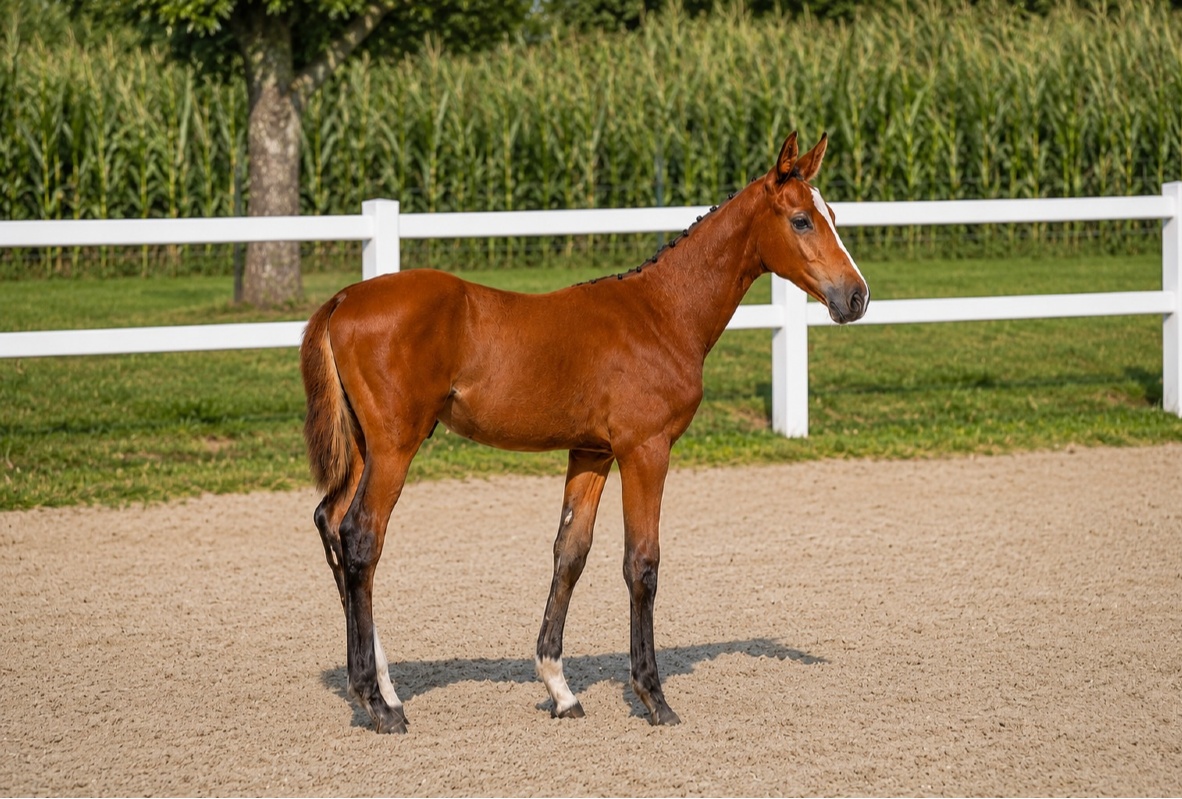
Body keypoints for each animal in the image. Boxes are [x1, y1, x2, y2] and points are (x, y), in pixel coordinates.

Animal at [299, 132, 868, 733]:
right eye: (802, 220)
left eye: (833, 215)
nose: (857, 297)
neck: (662, 313)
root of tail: (342, 299)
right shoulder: (645, 450)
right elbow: (642, 564)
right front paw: (653, 696)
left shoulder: (591, 452)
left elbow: (569, 554)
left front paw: (561, 689)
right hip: (395, 446)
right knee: (361, 537)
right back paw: (377, 701)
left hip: (365, 447)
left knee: (331, 523)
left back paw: (384, 687)